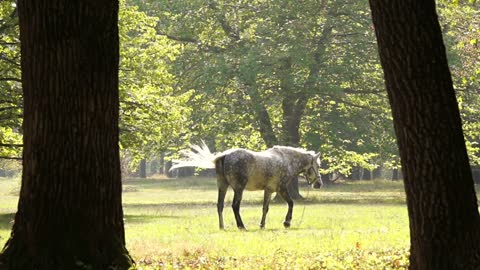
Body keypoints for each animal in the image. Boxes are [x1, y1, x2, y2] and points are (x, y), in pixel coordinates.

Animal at [170, 142, 322, 229]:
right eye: (318, 166)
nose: (319, 184)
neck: (286, 160)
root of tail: (225, 155)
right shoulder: (281, 188)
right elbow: (291, 203)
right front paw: (287, 222)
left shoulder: (269, 190)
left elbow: (265, 208)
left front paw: (262, 225)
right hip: (239, 189)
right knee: (235, 206)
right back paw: (241, 226)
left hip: (222, 186)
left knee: (220, 205)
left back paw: (222, 226)